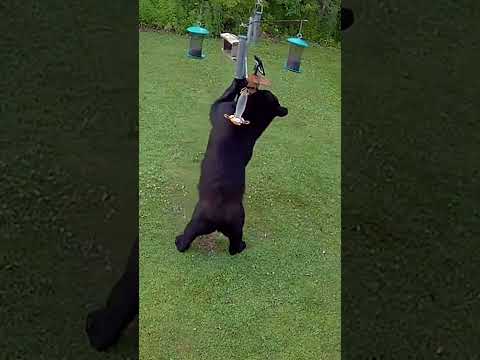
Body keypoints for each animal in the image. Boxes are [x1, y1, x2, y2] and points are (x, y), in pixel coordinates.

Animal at [176, 77, 288, 255]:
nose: (285, 109)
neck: (252, 112)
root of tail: (218, 218)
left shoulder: (219, 107)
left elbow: (224, 96)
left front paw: (238, 82)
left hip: (215, 223)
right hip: (219, 225)